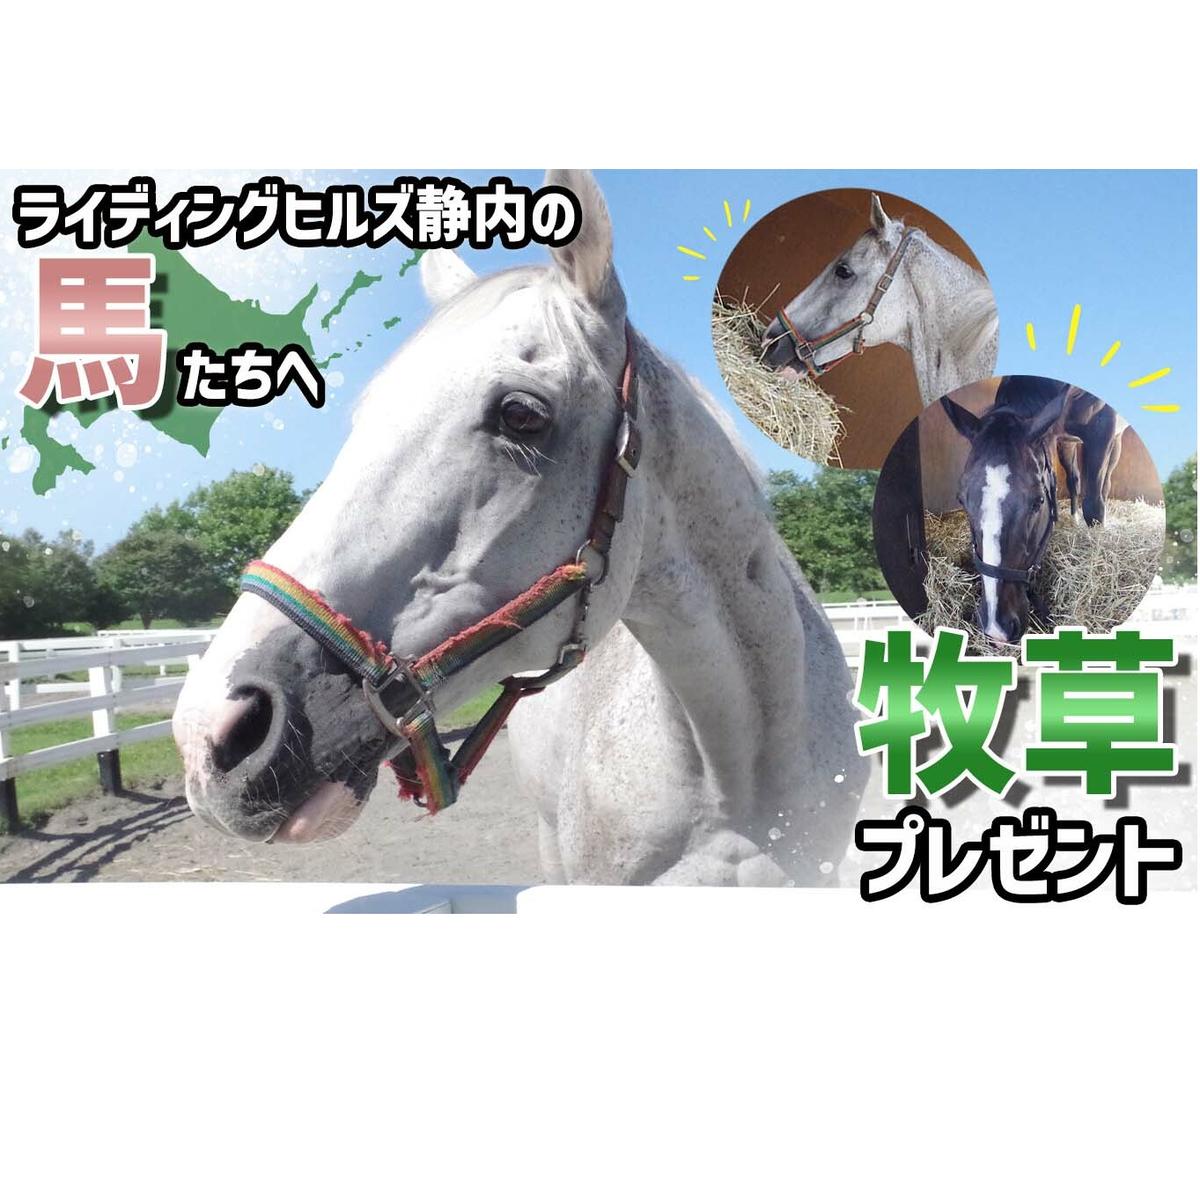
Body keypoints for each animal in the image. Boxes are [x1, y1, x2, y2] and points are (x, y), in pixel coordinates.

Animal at [939, 376, 1127, 644]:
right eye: (962, 500)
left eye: (1038, 501)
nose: (997, 627)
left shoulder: (1102, 432)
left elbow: (1094, 505)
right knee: (1074, 478)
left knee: (1104, 484)